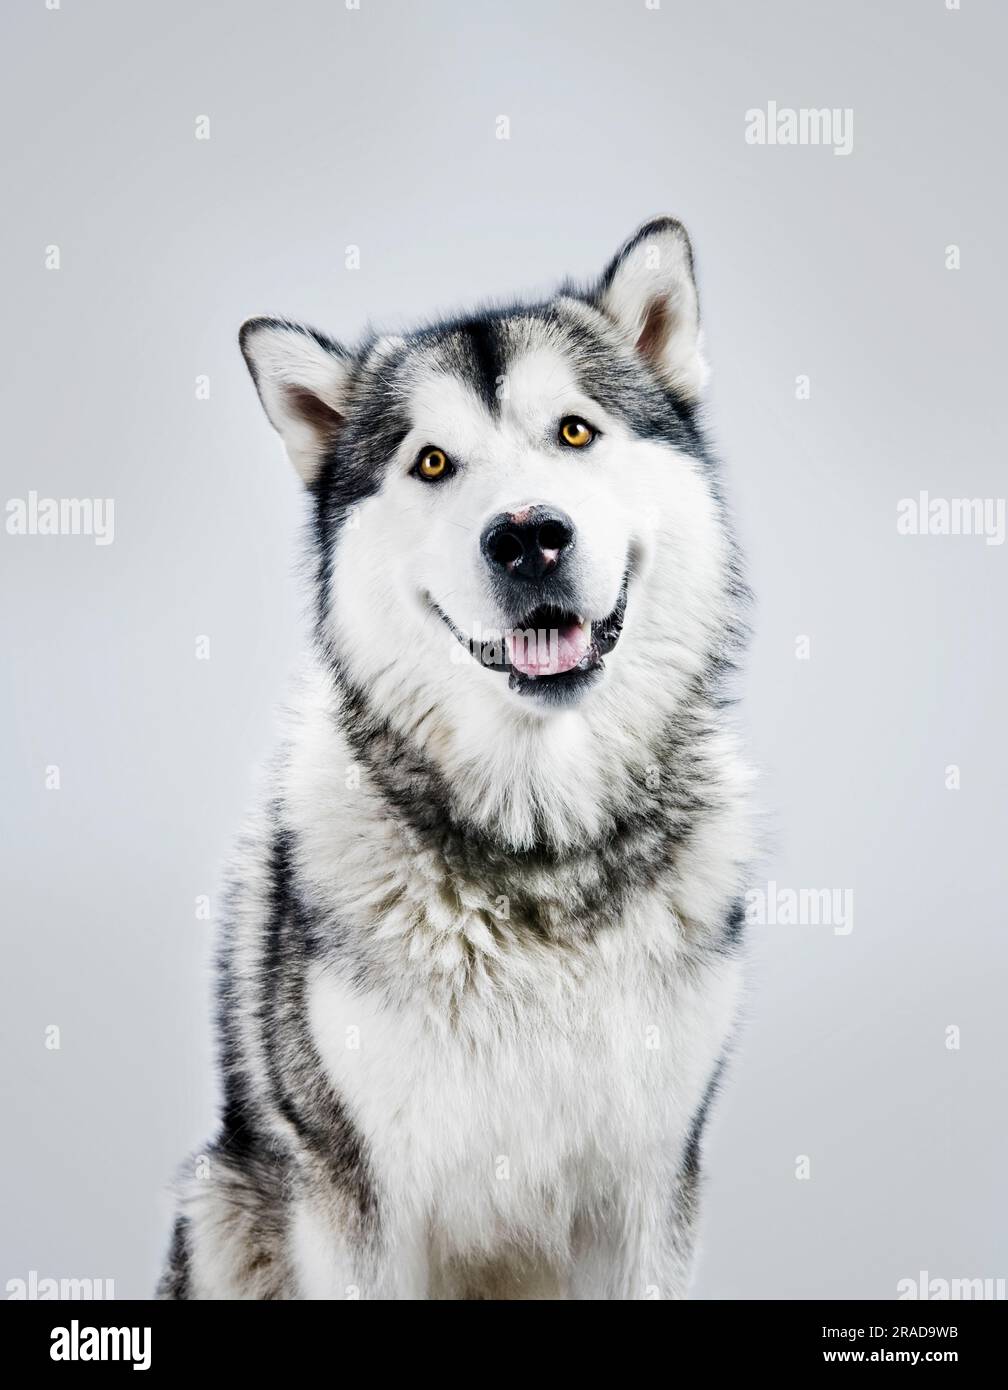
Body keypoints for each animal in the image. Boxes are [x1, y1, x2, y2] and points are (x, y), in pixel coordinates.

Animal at [157, 219, 750, 1301]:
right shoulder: (360, 1210)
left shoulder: (651, 1192)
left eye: (575, 432)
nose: (528, 538)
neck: (539, 856)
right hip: (223, 1204)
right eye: (432, 462)